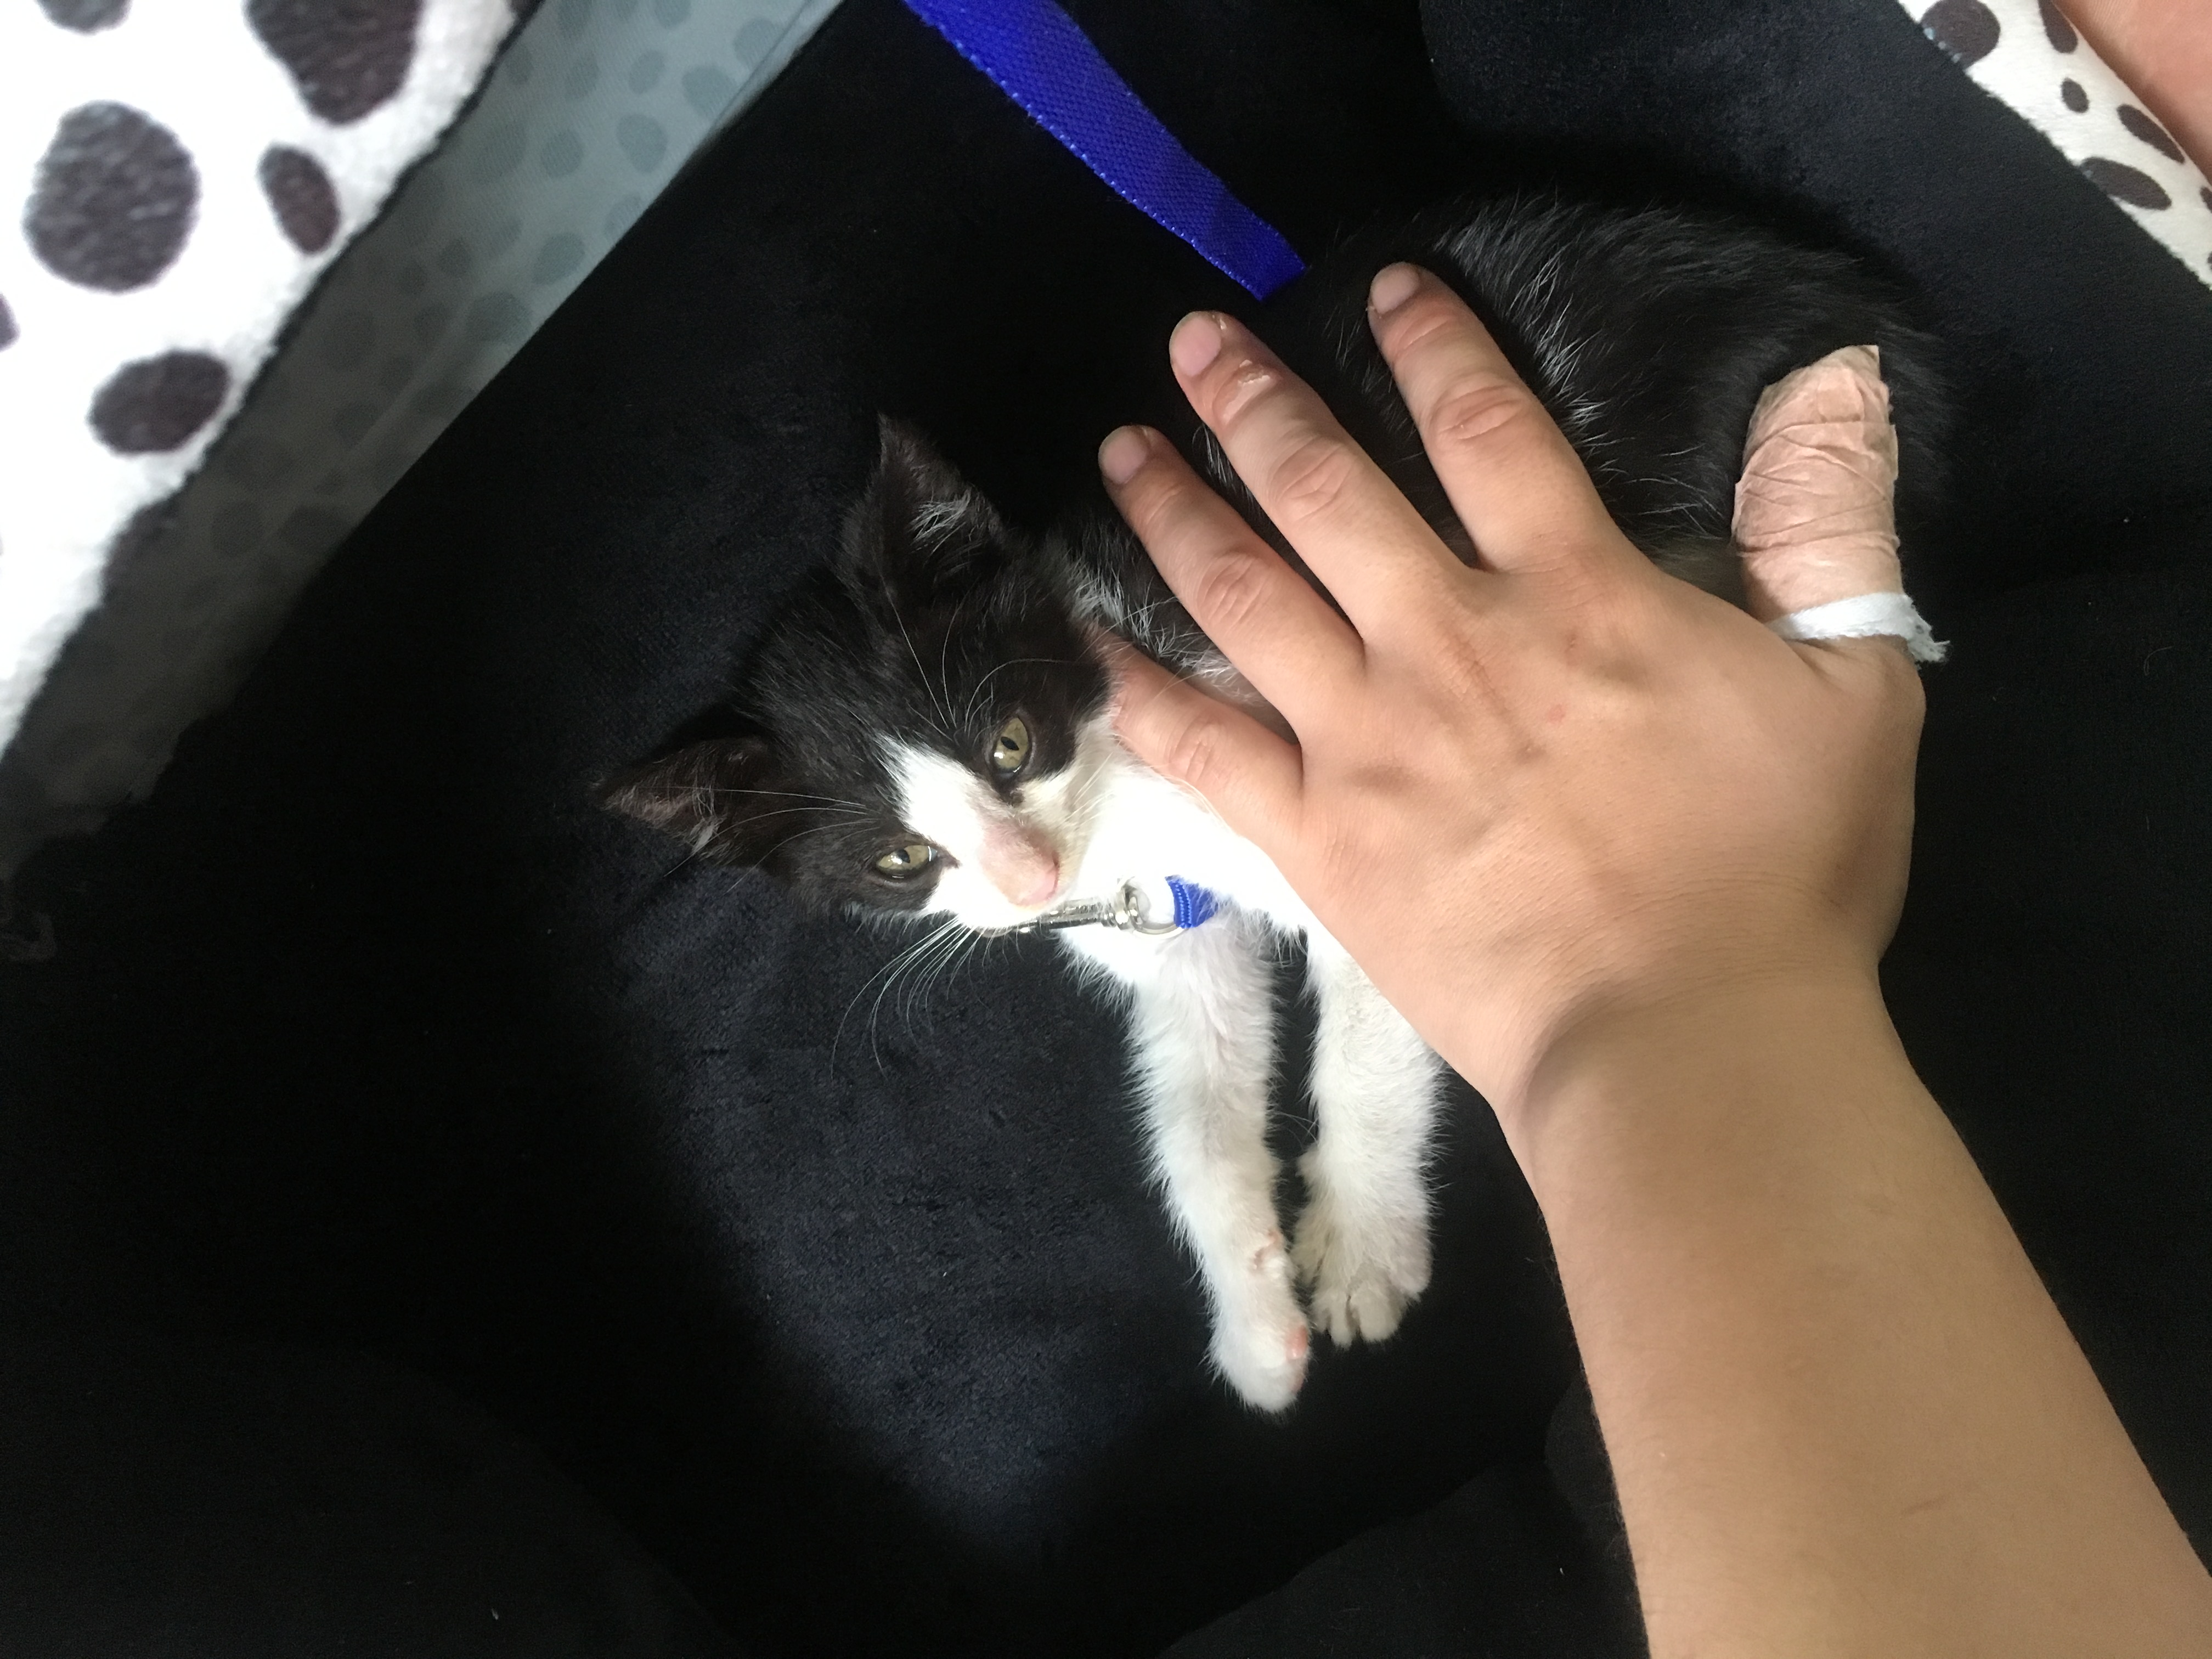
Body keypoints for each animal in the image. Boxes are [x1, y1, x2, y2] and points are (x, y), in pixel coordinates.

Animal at [599, 195, 1950, 1412]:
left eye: (1008, 741)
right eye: (896, 858)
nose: (1030, 879)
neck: (1128, 785)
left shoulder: (1368, 824)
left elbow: (1361, 1047)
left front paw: (1356, 1248)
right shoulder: (1170, 936)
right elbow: (1192, 1106)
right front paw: (1252, 1319)